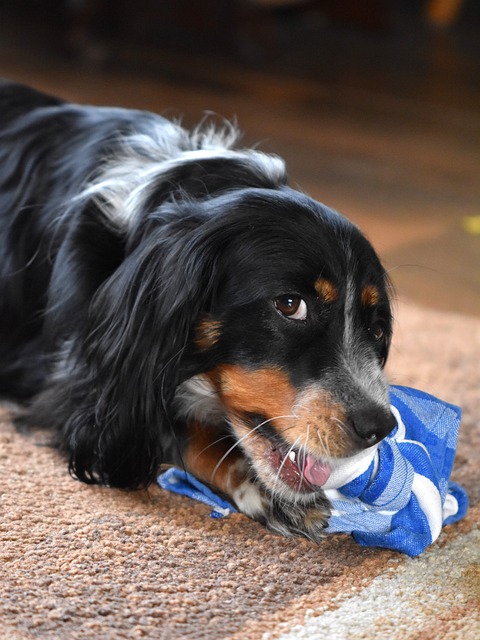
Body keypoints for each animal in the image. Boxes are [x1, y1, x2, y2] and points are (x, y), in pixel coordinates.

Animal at [0, 80, 398, 540]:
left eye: (376, 329)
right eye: (289, 305)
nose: (379, 427)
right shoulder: (72, 386)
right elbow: (170, 428)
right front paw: (265, 491)